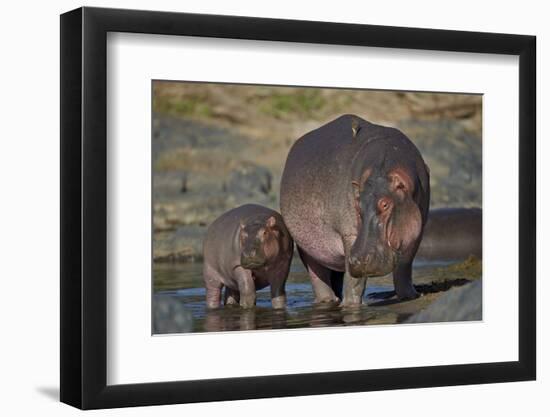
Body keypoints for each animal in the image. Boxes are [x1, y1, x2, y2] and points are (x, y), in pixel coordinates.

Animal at [282, 114, 434, 306]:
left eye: (385, 204)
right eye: (357, 204)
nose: (358, 260)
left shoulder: (417, 230)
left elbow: (405, 265)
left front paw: (410, 296)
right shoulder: (349, 234)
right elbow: (355, 280)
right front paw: (351, 306)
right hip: (307, 245)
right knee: (318, 274)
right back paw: (328, 301)